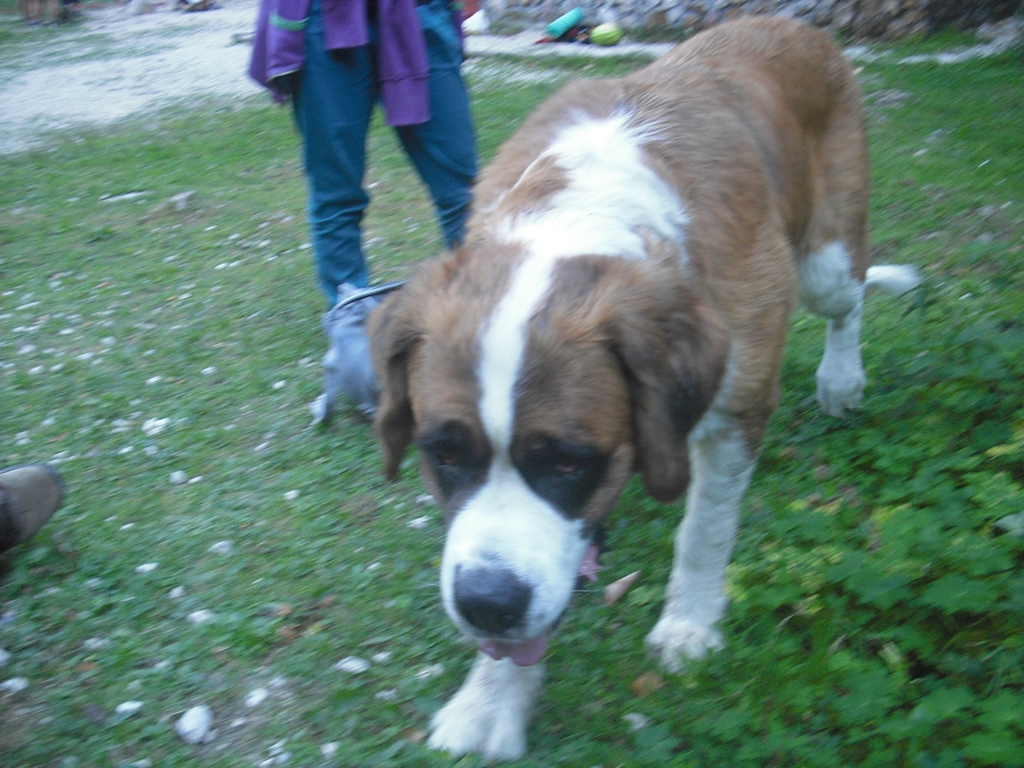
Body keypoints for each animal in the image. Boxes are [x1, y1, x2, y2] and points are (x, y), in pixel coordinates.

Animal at [369, 16, 920, 760]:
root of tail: (787, 21)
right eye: (443, 454)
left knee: (851, 296)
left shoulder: (738, 408)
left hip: (825, 262)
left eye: (568, 463)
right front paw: (490, 698)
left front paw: (689, 625)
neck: (579, 223)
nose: (487, 603)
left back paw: (841, 378)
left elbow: (704, 531)